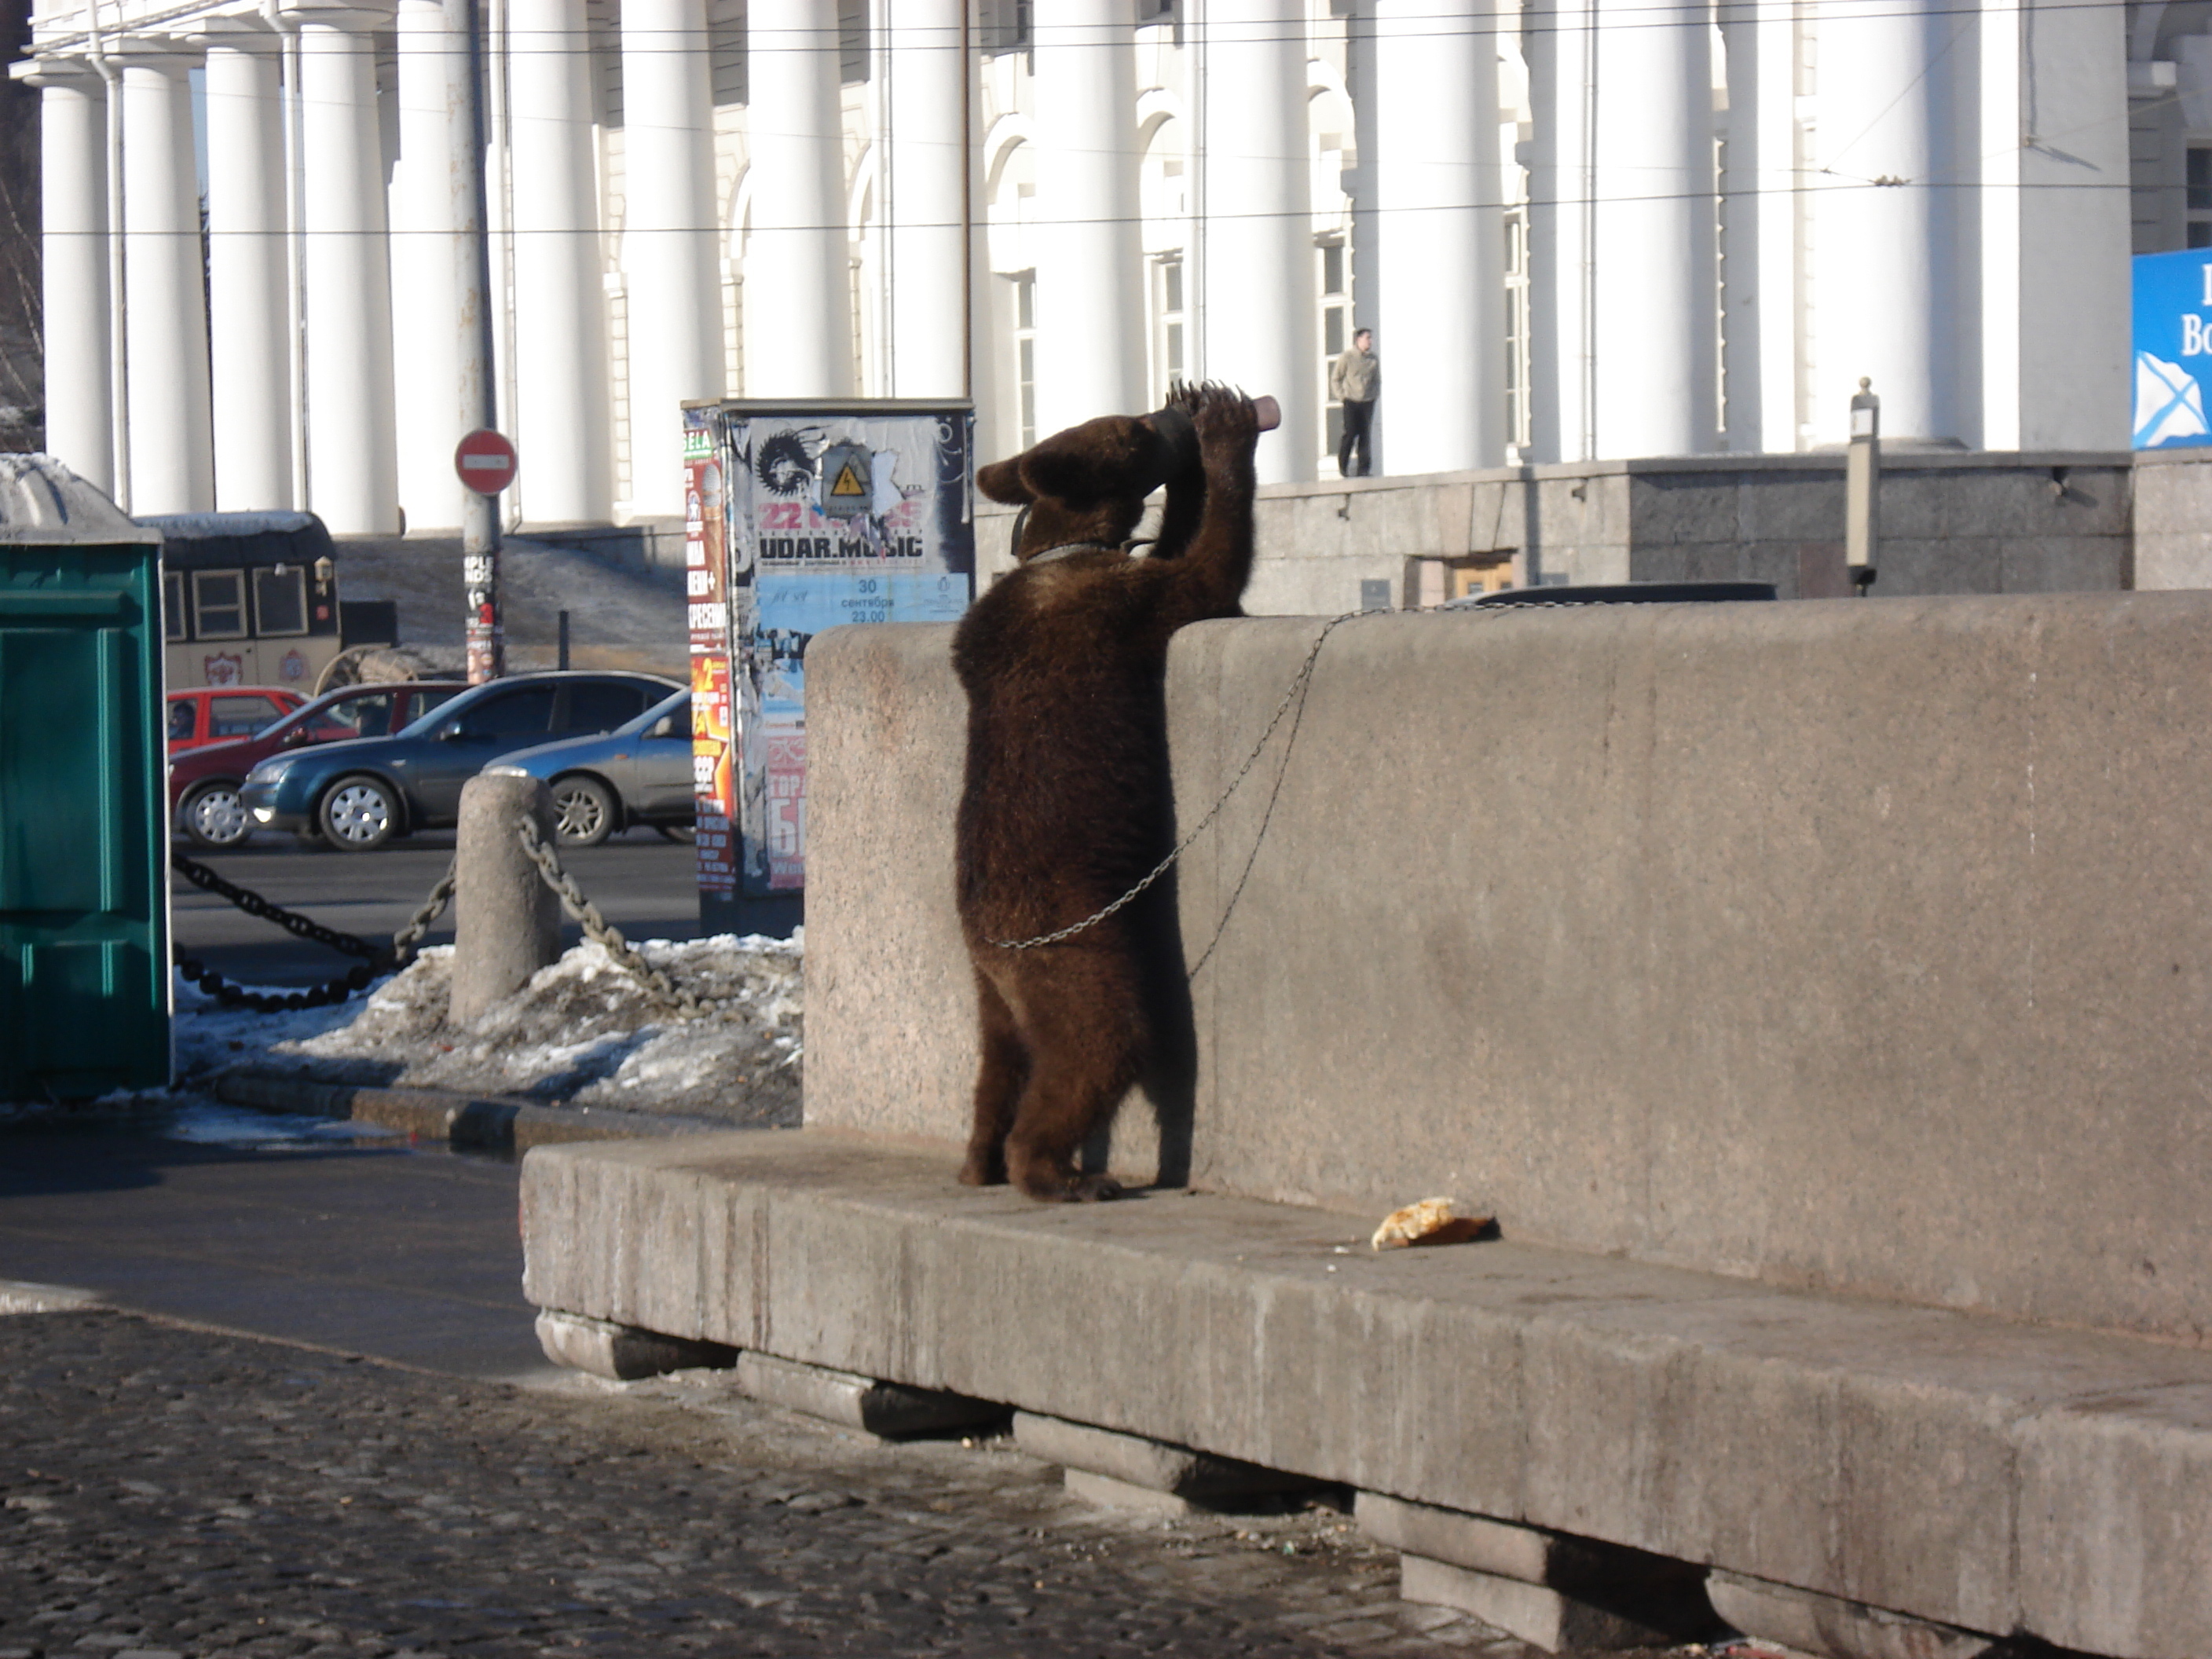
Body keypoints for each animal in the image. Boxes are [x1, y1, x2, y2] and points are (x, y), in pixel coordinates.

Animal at [950, 383, 1265, 1203]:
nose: (1167, 415)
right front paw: (1225, 430)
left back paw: (977, 1160)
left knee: (998, 1069)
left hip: (993, 992)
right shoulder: (1114, 608)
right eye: (1132, 433)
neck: (1063, 550)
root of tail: (993, 950)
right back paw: (1062, 1173)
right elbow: (1207, 572)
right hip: (1073, 948)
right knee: (1098, 1043)